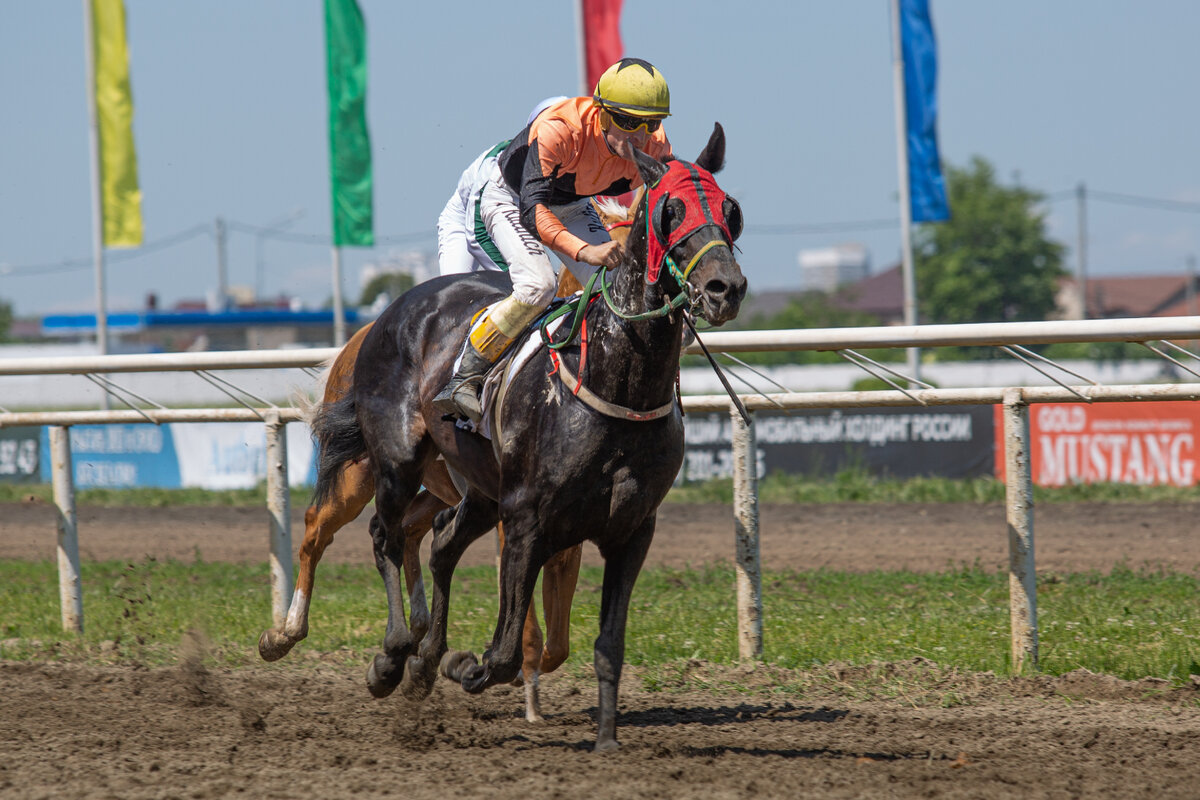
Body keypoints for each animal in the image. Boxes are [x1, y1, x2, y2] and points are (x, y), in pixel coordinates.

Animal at [309, 125, 744, 753]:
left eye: (731, 211)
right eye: (671, 210)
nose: (723, 288)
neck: (616, 382)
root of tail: (395, 309)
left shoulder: (631, 530)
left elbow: (607, 645)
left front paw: (607, 741)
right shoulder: (527, 518)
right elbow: (509, 649)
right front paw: (466, 666)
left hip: (480, 491)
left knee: (439, 544)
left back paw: (422, 661)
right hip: (398, 463)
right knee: (382, 537)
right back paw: (390, 657)